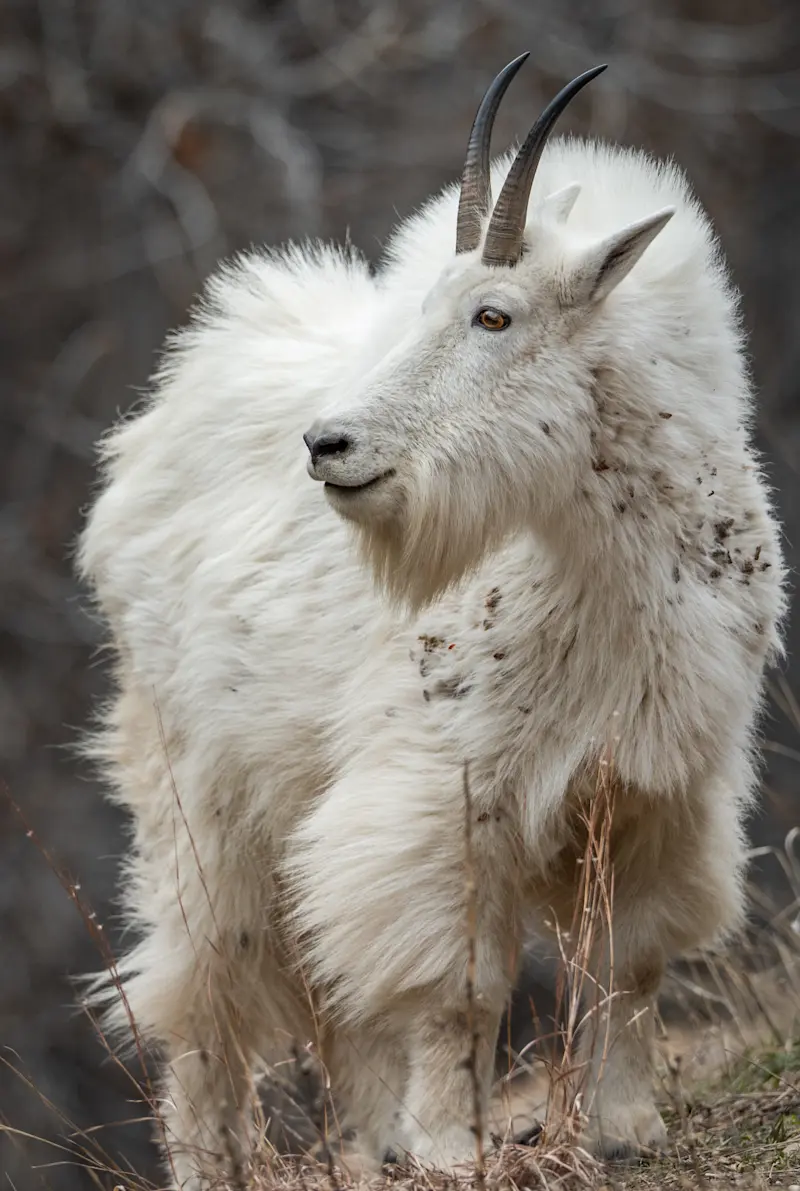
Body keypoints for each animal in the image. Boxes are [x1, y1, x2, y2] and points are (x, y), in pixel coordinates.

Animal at [78, 54, 786, 1188]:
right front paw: (456, 1146)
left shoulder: (658, 792)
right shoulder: (444, 796)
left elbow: (628, 963)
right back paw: (217, 1161)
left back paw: (374, 1146)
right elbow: (461, 985)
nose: (327, 443)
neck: (601, 568)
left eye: (493, 316)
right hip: (196, 793)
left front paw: (627, 1129)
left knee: (331, 1004)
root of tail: (153, 425)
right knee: (209, 988)